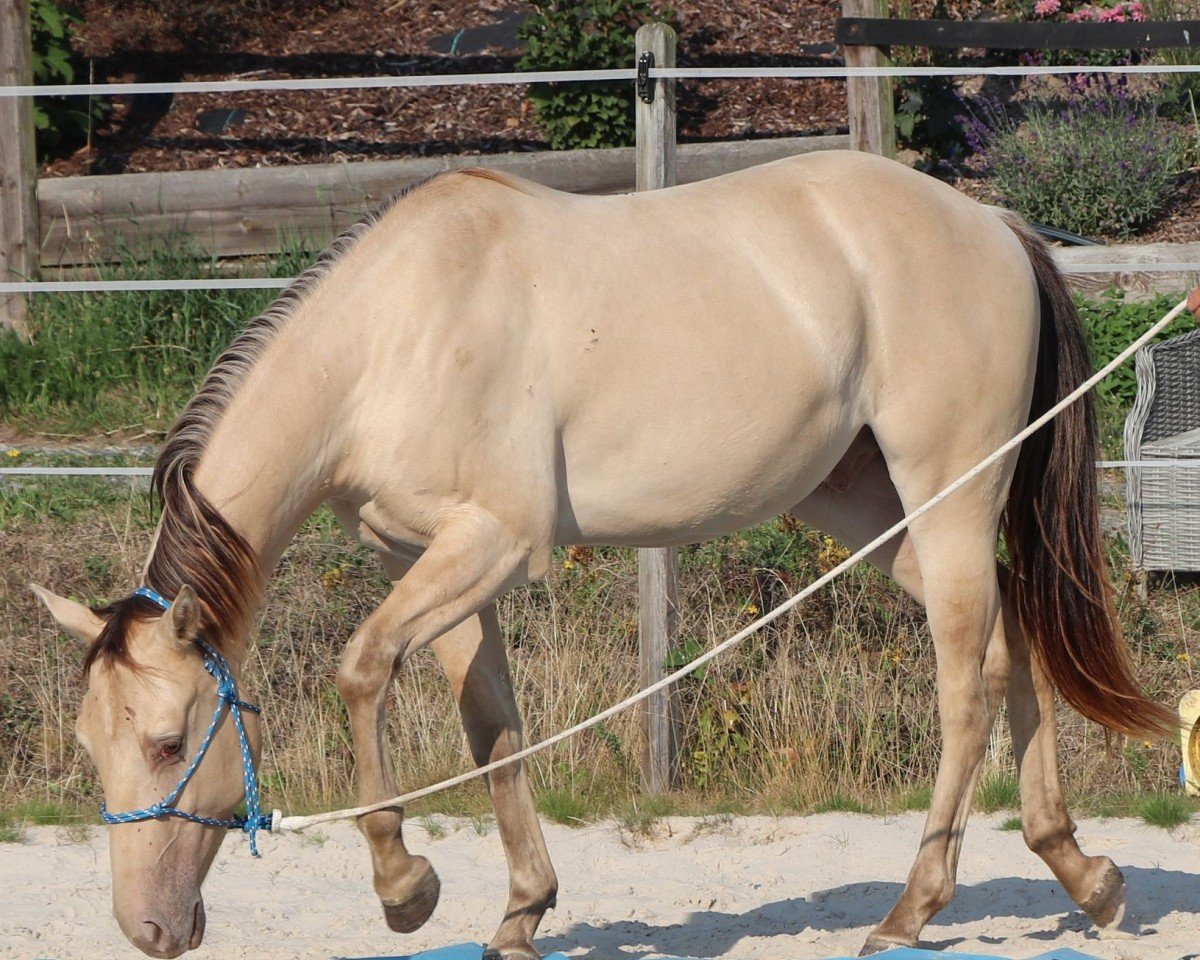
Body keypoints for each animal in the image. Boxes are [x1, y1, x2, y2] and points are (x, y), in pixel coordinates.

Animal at [35, 150, 1173, 960]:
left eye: (172, 743)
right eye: (91, 744)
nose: (148, 931)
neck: (390, 339)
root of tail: (993, 224)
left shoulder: (493, 544)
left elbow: (361, 671)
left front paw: (406, 890)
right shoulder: (430, 560)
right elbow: (493, 729)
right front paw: (519, 916)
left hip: (949, 493)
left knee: (964, 686)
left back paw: (910, 910)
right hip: (883, 513)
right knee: (1014, 641)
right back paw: (1083, 874)